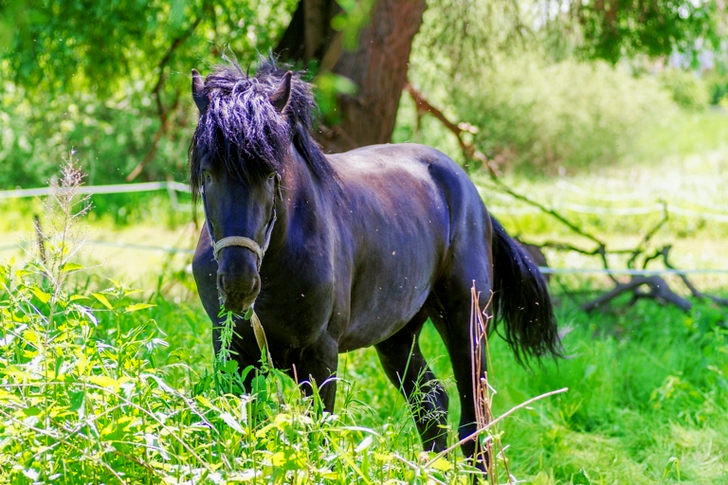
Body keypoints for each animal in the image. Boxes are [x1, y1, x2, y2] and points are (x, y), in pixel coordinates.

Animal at [189, 59, 561, 470]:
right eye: (207, 174)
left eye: (272, 175)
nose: (238, 283)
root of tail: (471, 195)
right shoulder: (234, 351)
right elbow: (243, 430)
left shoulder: (319, 356)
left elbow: (317, 436)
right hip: (398, 336)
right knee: (431, 402)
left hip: (466, 321)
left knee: (474, 423)